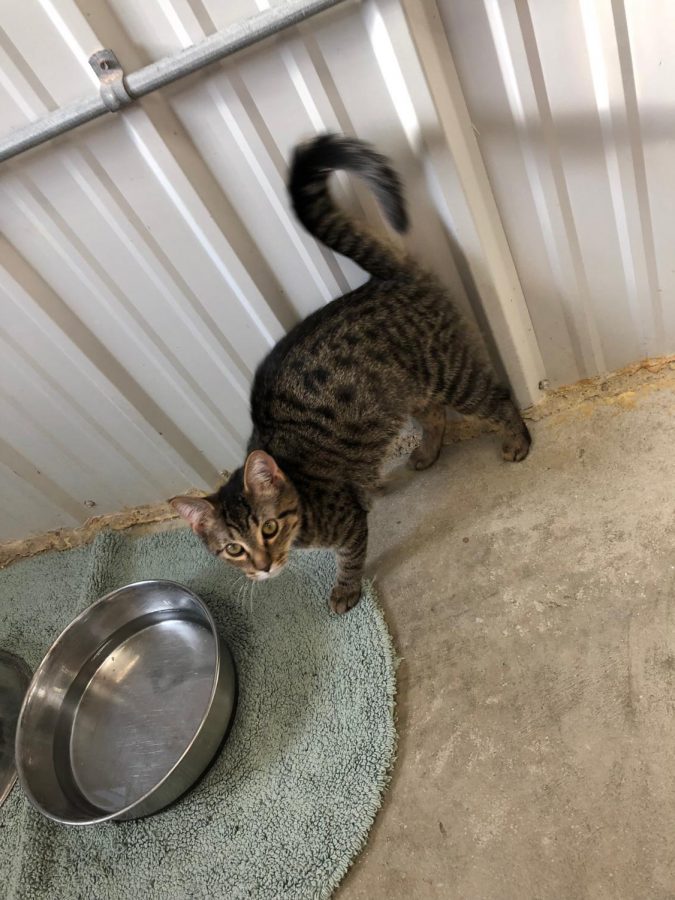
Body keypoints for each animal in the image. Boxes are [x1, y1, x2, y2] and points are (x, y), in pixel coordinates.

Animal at [172, 134, 532, 612]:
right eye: (233, 549)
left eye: (269, 528)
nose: (263, 567)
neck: (300, 491)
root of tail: (384, 279)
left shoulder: (349, 522)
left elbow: (350, 556)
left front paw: (345, 589)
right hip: (406, 389)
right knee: (434, 414)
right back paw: (426, 452)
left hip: (451, 374)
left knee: (497, 397)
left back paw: (517, 439)